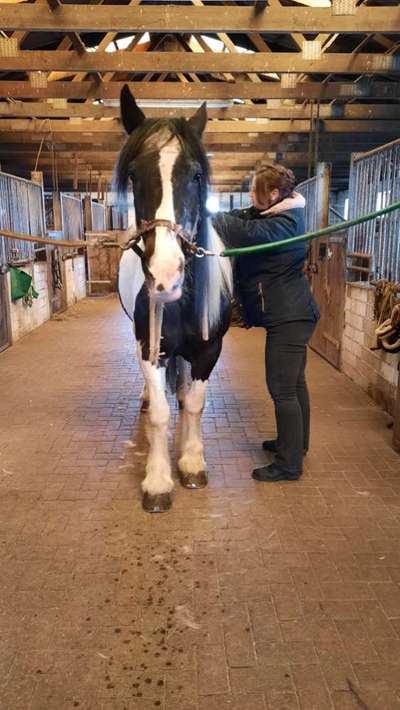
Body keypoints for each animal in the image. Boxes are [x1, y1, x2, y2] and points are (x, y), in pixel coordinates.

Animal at [115, 85, 232, 513]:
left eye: (196, 175)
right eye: (134, 175)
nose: (165, 276)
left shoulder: (208, 350)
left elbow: (193, 404)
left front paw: (192, 462)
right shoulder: (150, 347)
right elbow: (160, 412)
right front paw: (157, 481)